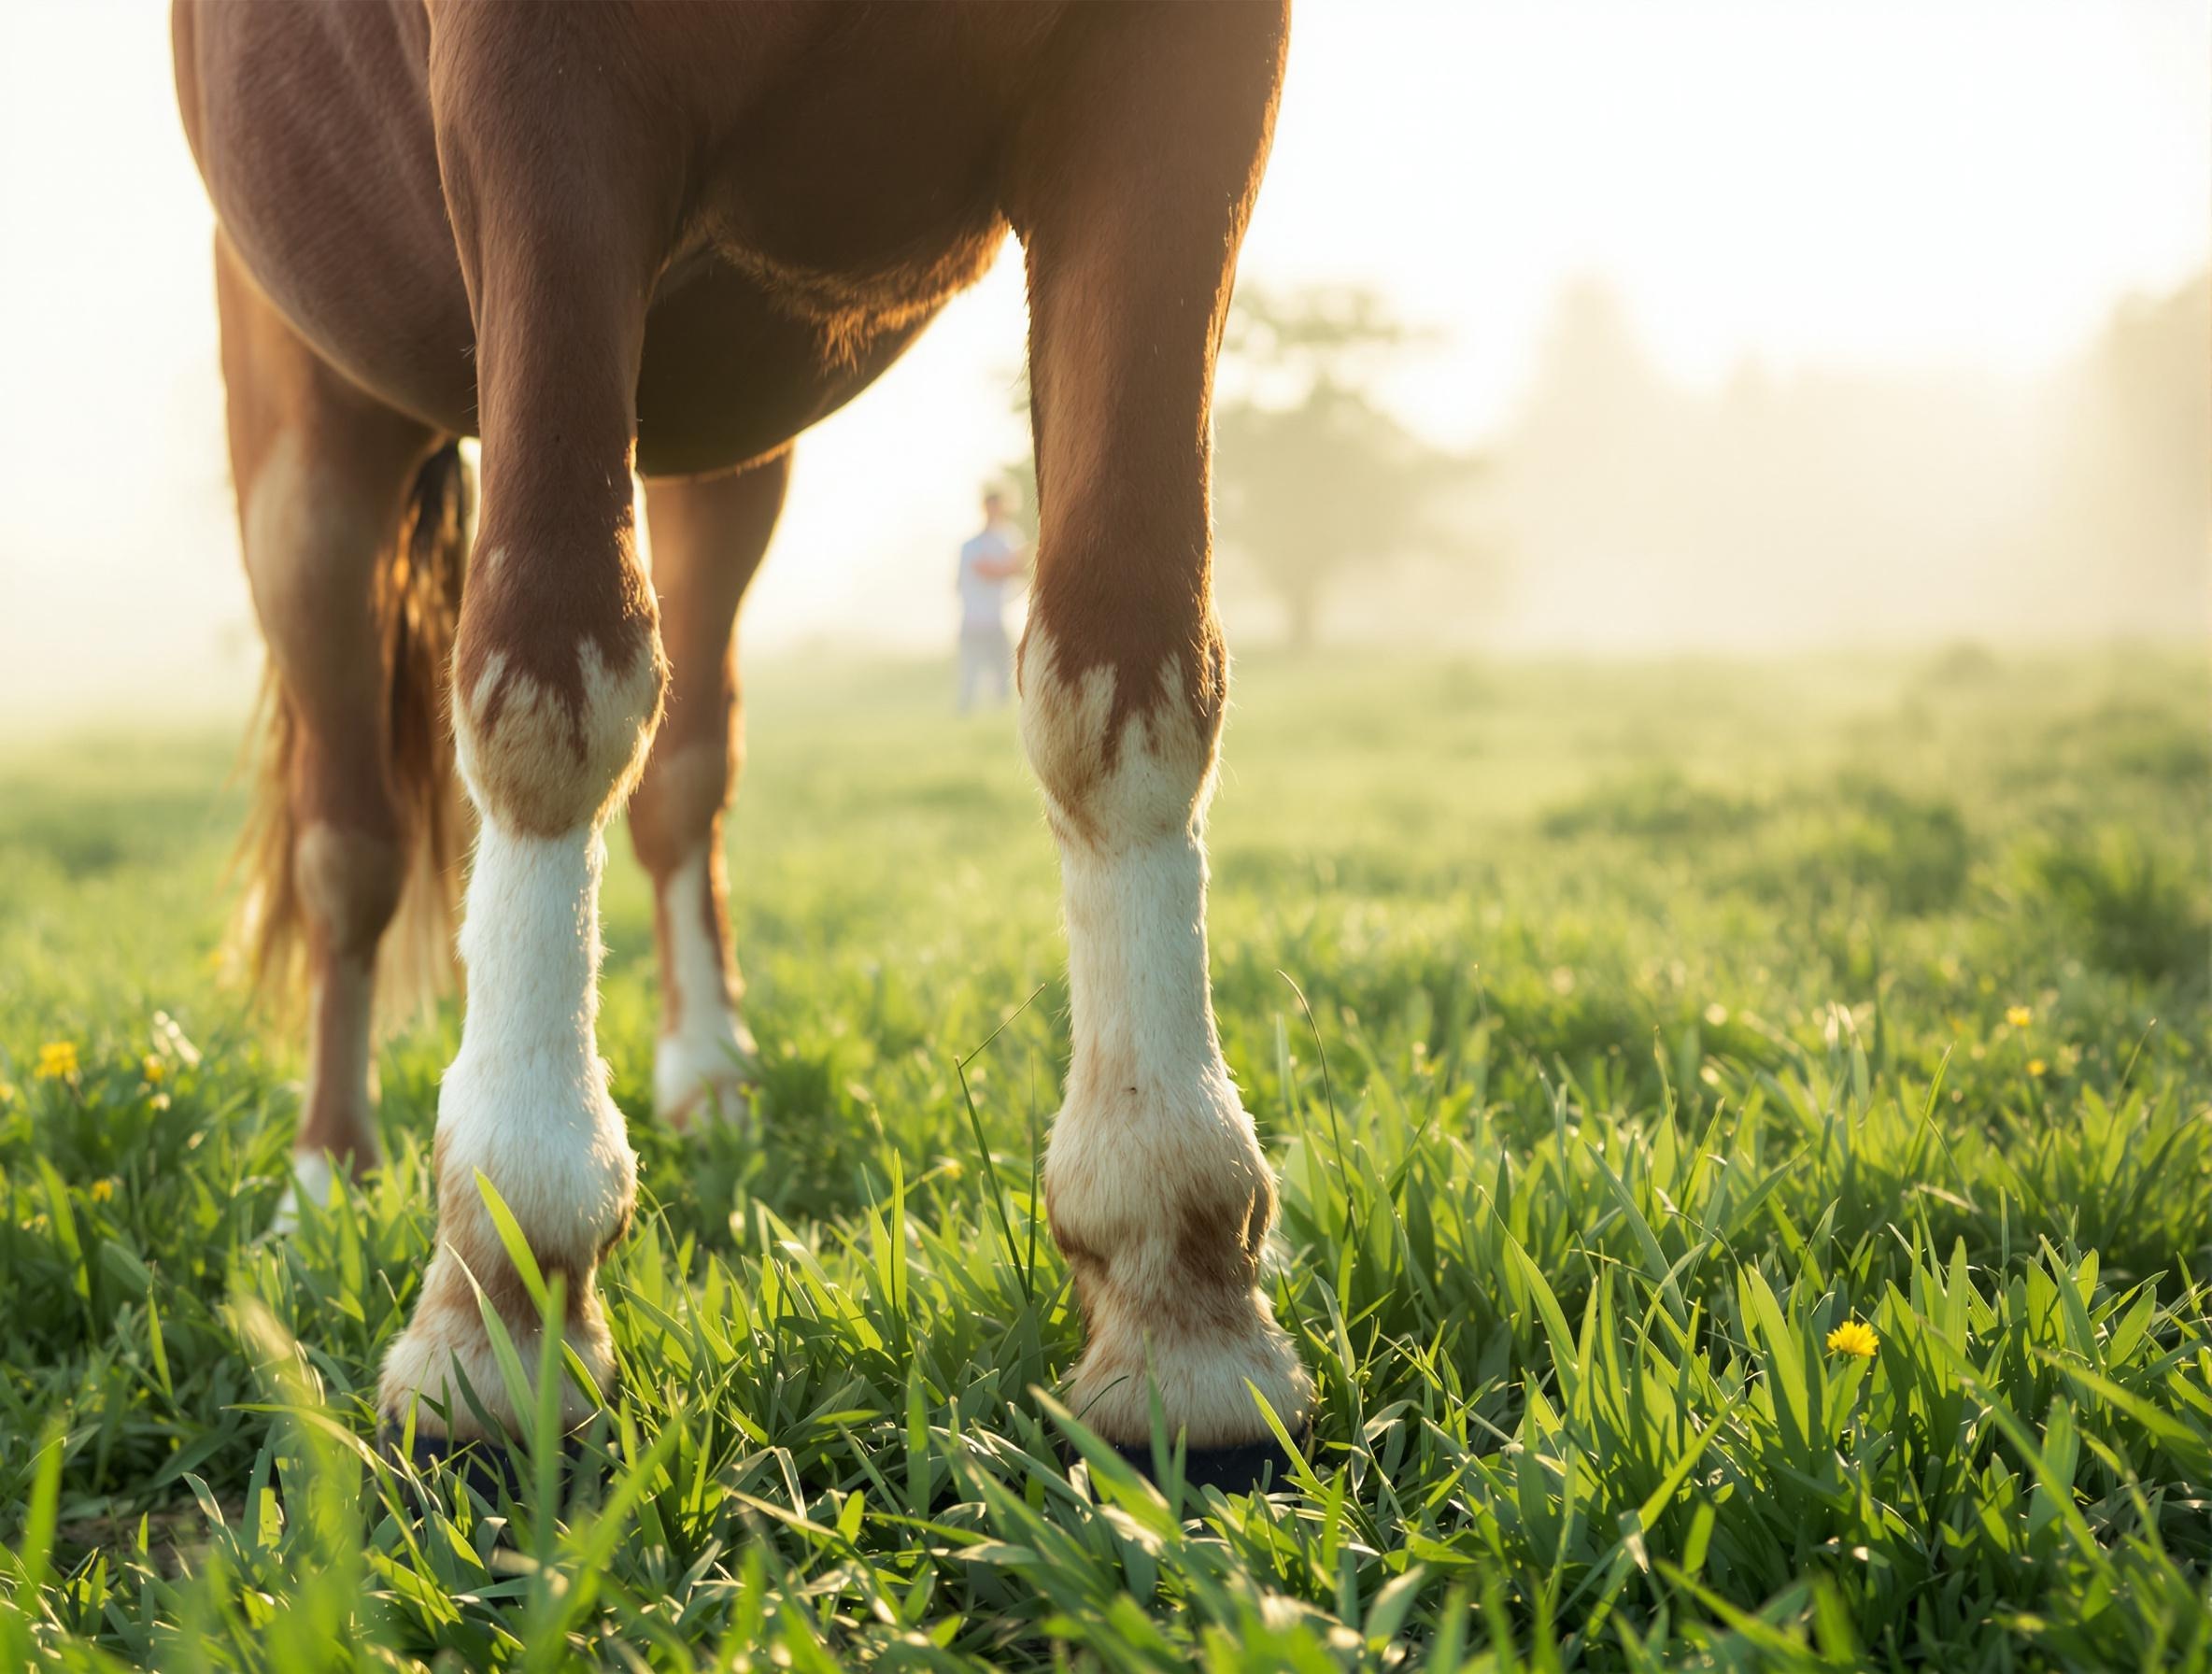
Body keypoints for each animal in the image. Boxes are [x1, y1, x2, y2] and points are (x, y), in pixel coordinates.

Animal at [172, 0, 1309, 1488]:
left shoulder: (1181, 77)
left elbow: (1129, 672)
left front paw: (1182, 1300)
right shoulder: (539, 99)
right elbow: (547, 683)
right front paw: (501, 1299)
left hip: (714, 444)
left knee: (683, 775)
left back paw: (704, 1069)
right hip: (306, 441)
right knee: (344, 843)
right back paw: (326, 1170)